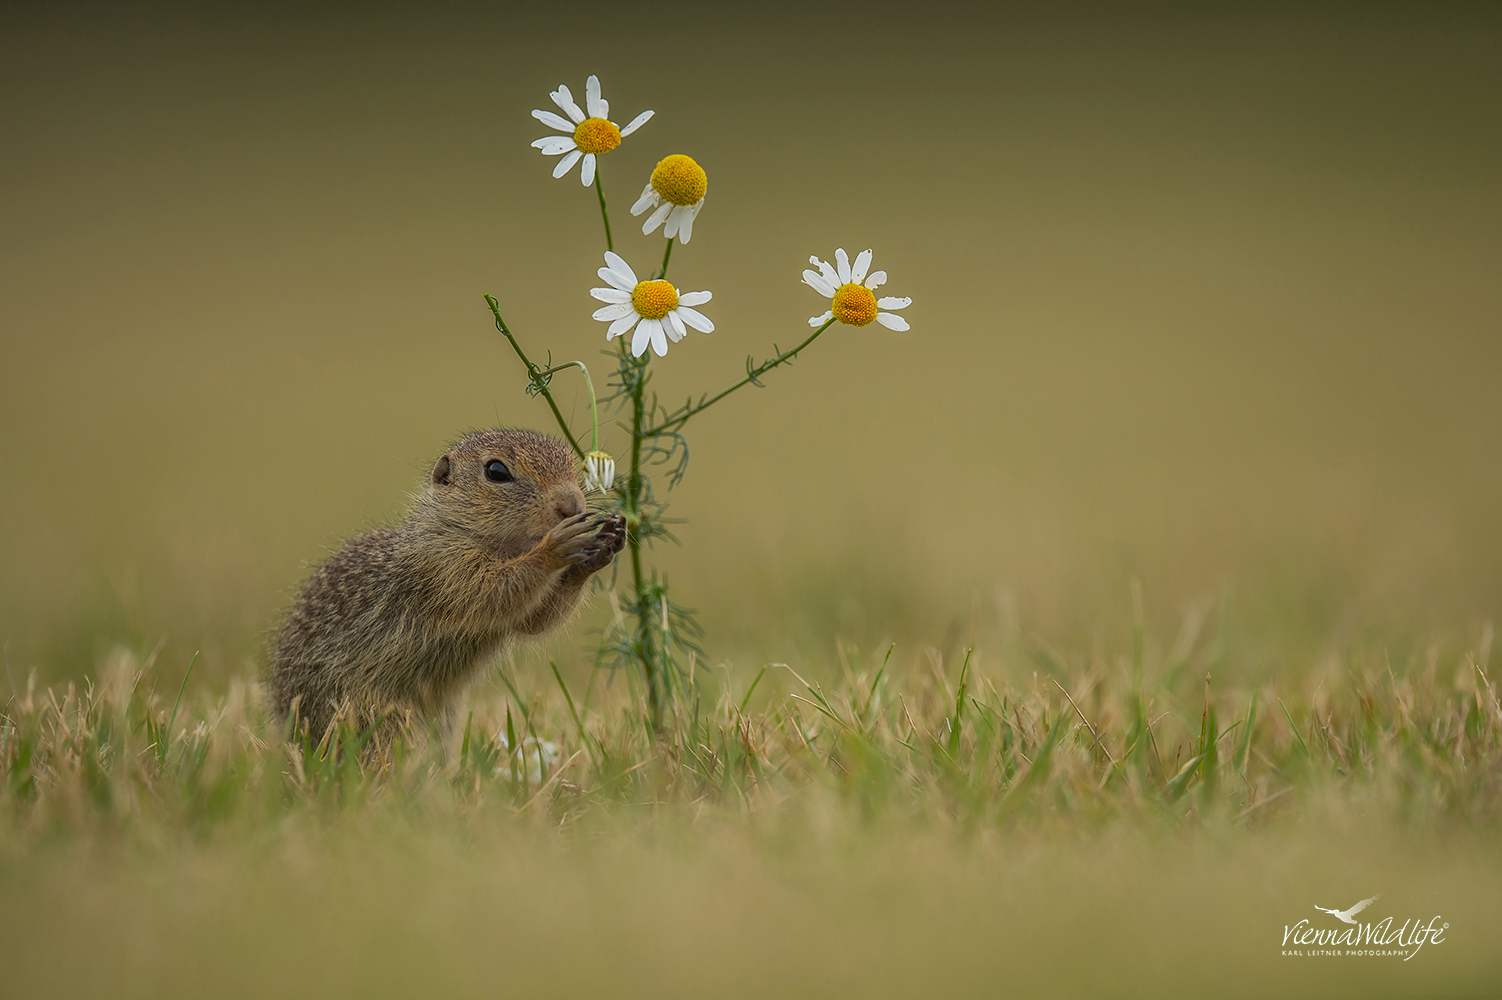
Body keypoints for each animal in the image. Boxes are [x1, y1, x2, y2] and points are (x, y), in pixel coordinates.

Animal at [268, 423, 621, 756]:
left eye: (571, 465)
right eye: (497, 471)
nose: (571, 505)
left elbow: (536, 620)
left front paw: (602, 546)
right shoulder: (445, 567)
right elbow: (495, 590)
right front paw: (556, 545)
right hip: (377, 719)